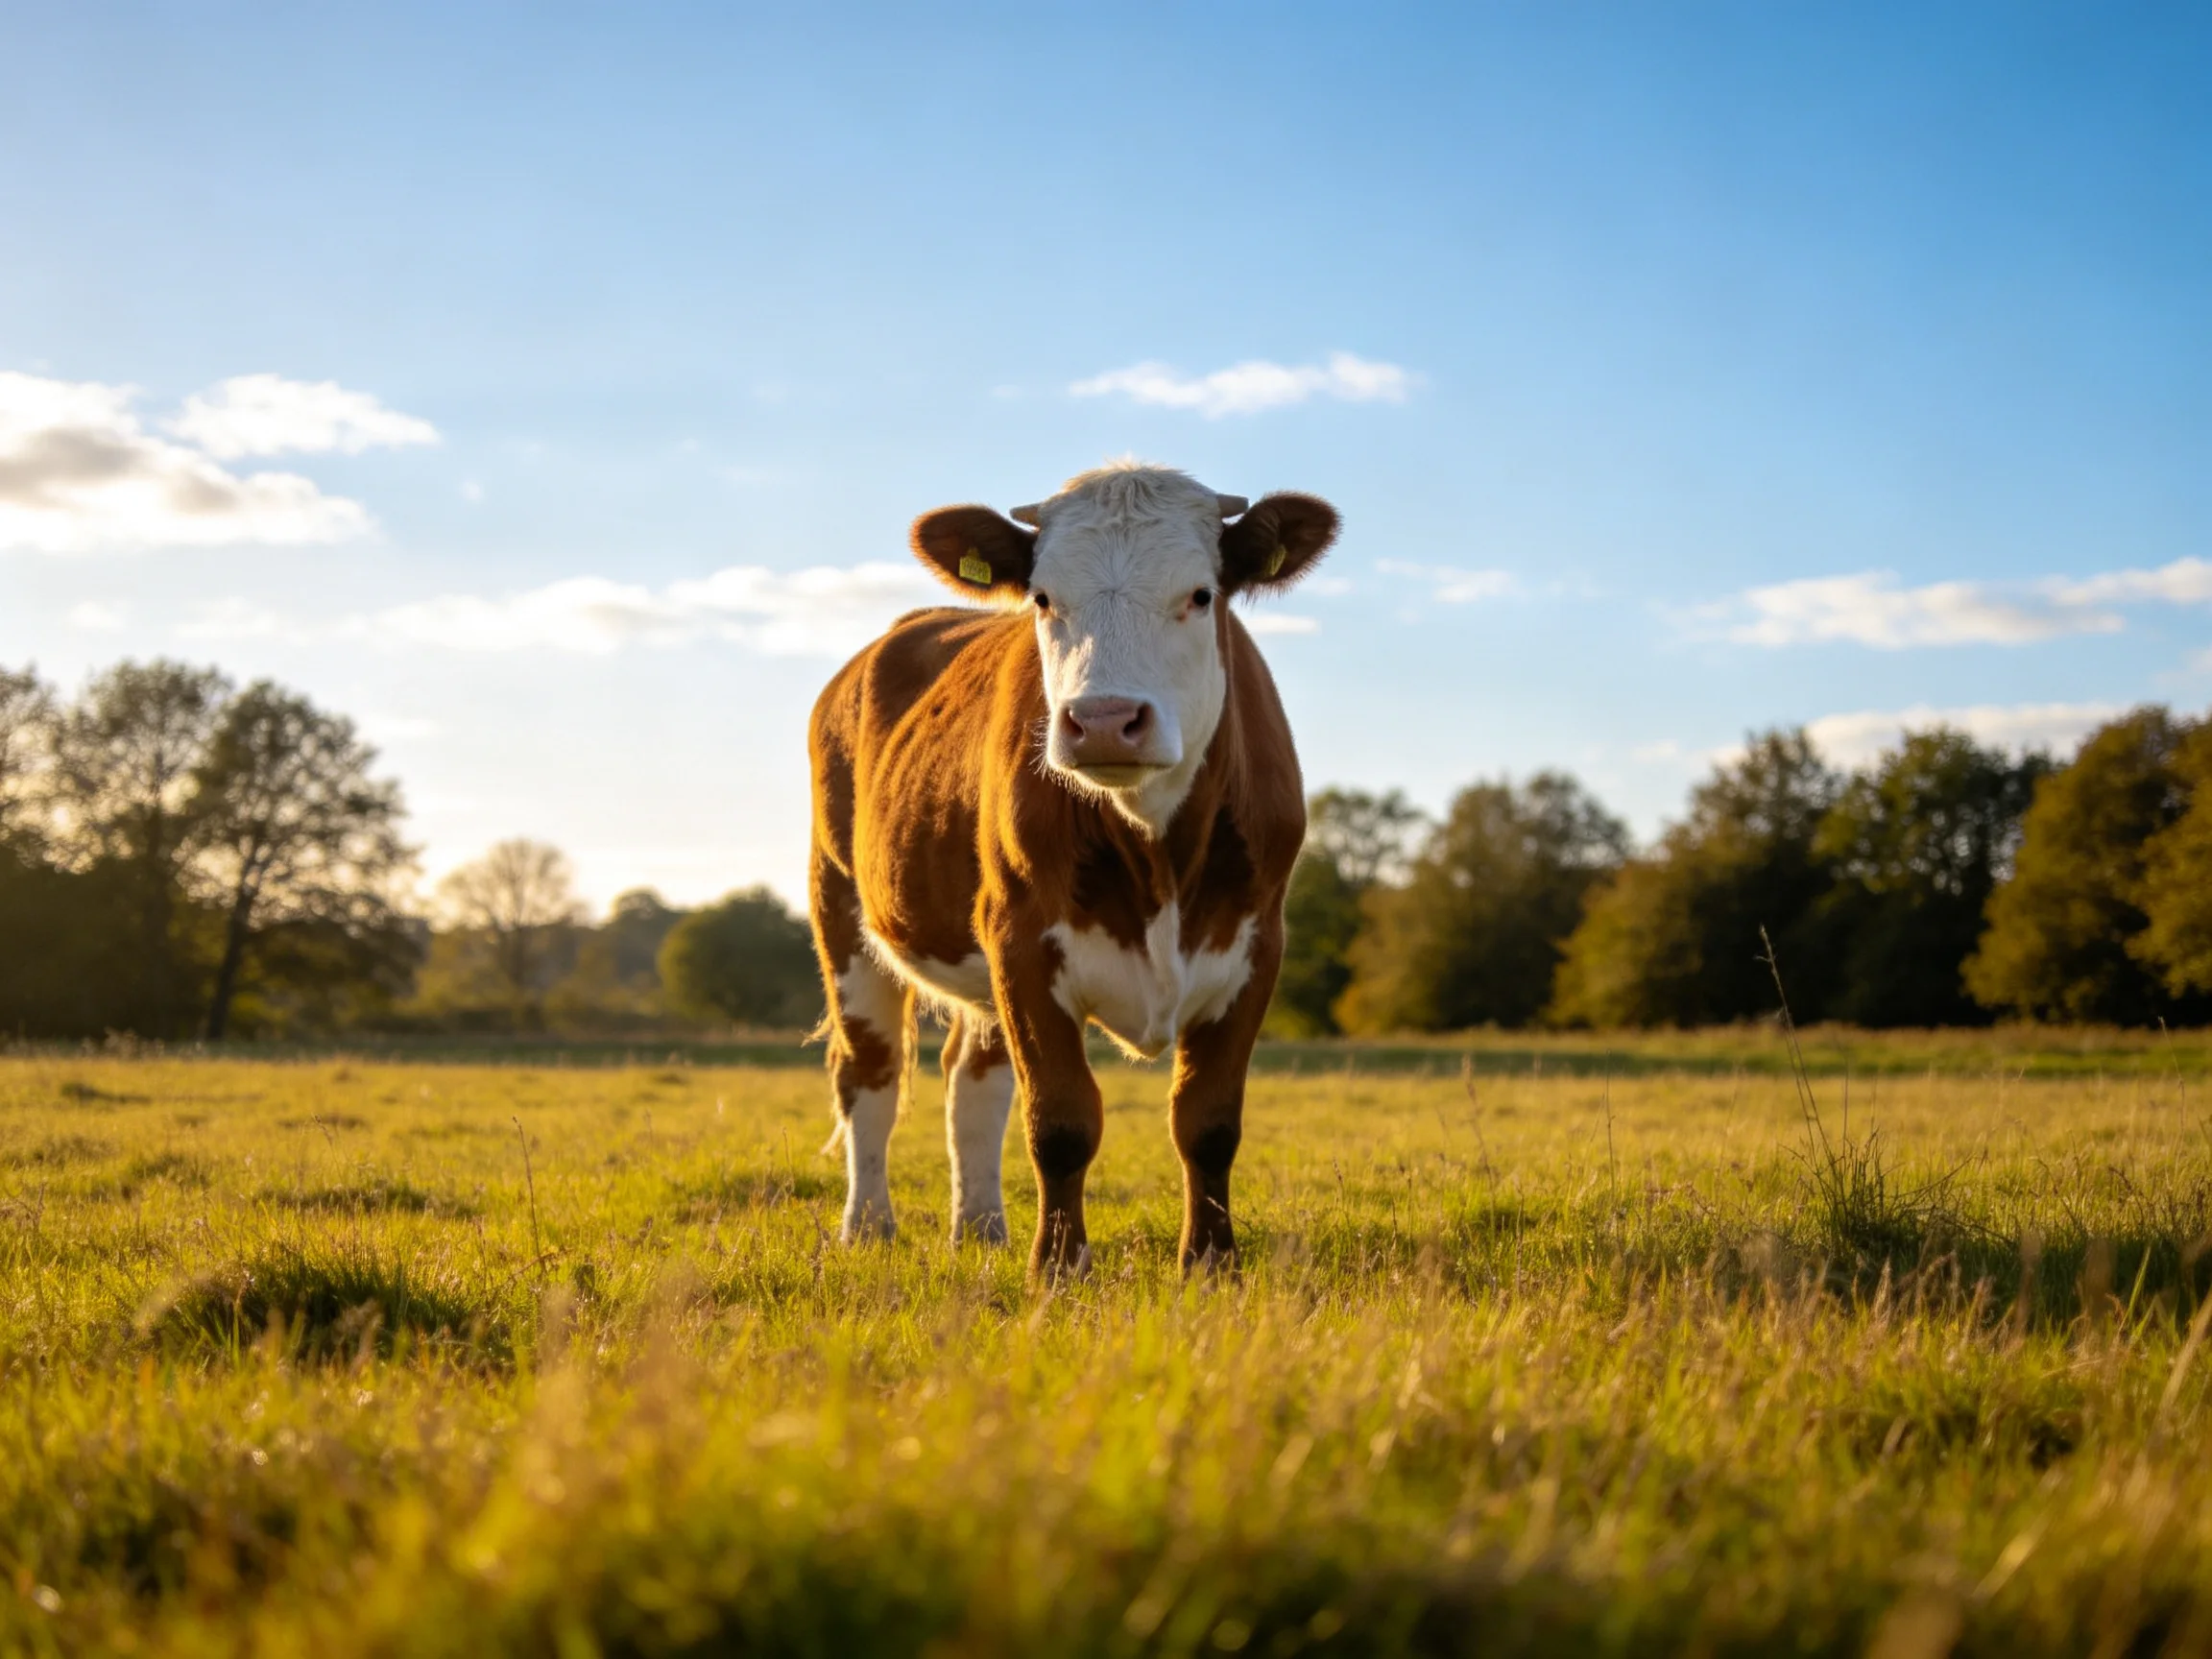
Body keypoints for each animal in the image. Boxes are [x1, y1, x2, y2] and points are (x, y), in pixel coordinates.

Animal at [807, 461, 1339, 1277]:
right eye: (1043, 597)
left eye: (1200, 594)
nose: (1104, 721)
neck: (1157, 854)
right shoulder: (1022, 941)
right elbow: (1058, 1120)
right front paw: (1056, 1266)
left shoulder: (1256, 944)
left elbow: (1207, 1121)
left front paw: (1210, 1263)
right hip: (841, 906)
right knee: (870, 1071)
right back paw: (867, 1226)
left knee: (972, 1078)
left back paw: (980, 1227)